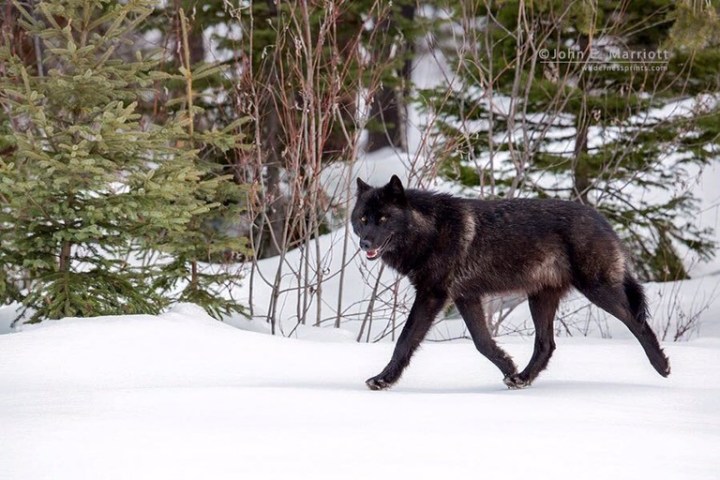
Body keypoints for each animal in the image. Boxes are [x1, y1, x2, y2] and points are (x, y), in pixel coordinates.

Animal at [351, 175, 670, 390]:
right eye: (363, 219)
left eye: (383, 219)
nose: (364, 242)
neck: (431, 231)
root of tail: (601, 219)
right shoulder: (466, 297)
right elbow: (482, 342)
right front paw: (508, 366)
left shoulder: (432, 295)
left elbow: (404, 341)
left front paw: (383, 379)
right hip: (540, 298)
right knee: (546, 344)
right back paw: (523, 378)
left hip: (598, 290)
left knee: (637, 322)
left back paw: (662, 366)